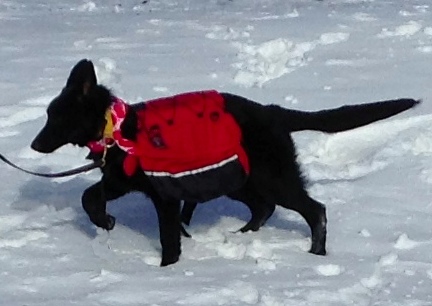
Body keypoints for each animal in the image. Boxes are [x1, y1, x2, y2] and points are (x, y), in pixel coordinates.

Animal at [32, 59, 420, 266]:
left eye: (56, 117)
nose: (34, 144)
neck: (118, 128)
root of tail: (274, 113)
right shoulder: (121, 180)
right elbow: (89, 196)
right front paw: (106, 221)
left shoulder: (163, 196)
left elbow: (168, 237)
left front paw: (167, 271)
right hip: (241, 179)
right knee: (263, 207)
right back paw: (243, 234)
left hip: (272, 177)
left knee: (315, 210)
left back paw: (316, 253)